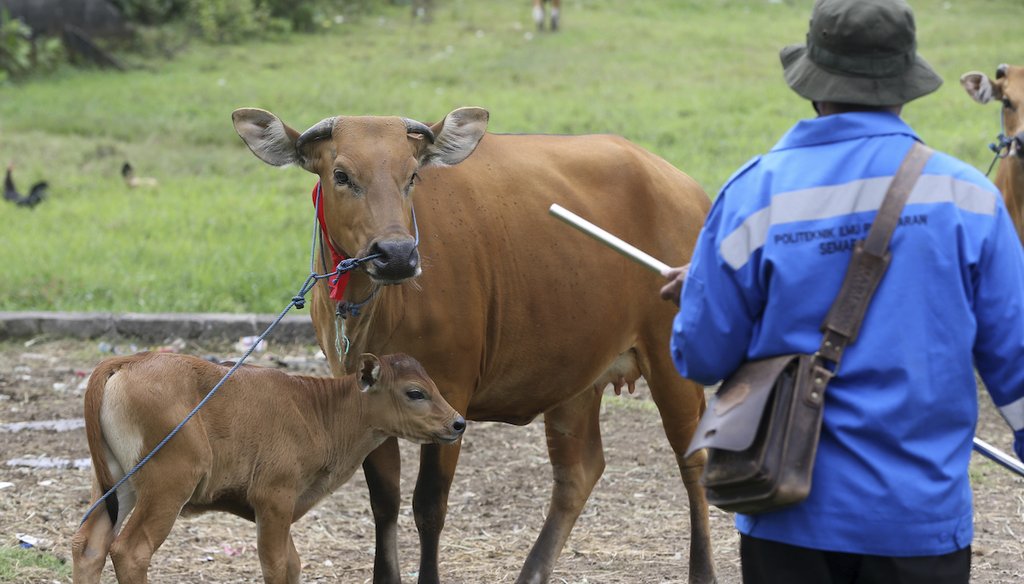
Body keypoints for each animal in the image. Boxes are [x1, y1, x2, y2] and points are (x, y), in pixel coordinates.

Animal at [73, 350, 468, 581]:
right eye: (415, 392)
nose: (458, 423)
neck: (318, 410)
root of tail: (127, 362)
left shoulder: (285, 504)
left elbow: (291, 563)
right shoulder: (274, 496)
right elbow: (276, 563)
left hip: (116, 481)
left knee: (89, 545)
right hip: (169, 481)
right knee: (131, 550)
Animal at [231, 105, 712, 581]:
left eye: (412, 175)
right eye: (341, 174)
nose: (397, 254)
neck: (375, 307)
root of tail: (688, 189)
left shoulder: (452, 392)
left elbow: (429, 507)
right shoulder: (367, 393)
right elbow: (384, 502)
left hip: (670, 357)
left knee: (694, 459)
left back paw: (702, 569)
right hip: (576, 375)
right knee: (578, 472)